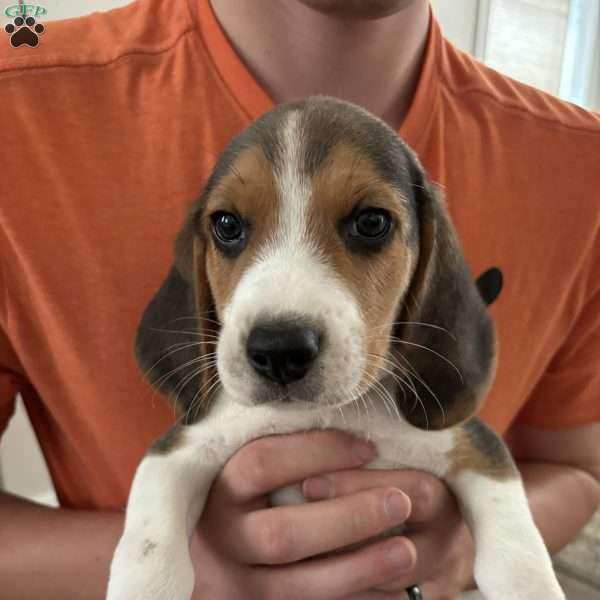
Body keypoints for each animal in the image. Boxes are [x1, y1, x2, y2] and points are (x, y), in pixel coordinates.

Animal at [106, 96, 564, 596]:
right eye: (226, 224)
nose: (279, 349)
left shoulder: (475, 445)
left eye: (371, 222)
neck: (332, 413)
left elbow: (517, 560)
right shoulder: (184, 446)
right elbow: (150, 548)